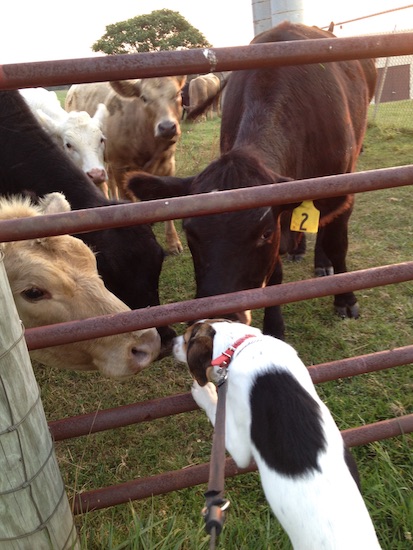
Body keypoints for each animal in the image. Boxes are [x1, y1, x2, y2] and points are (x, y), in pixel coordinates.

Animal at [65, 77, 186, 256]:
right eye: (144, 98)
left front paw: (173, 242)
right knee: (103, 184)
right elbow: (130, 200)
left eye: (177, 94)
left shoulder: (168, 165)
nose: (167, 127)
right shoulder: (121, 166)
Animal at [127, 22, 374, 340]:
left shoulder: (341, 186)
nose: (218, 318)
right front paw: (274, 328)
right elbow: (275, 273)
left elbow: (337, 243)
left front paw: (345, 299)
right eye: (190, 232)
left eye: (265, 233)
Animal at [171, 320, 380, 550]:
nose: (171, 342)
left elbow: (216, 408)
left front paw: (204, 392)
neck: (244, 346)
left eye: (186, 339)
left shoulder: (239, 447)